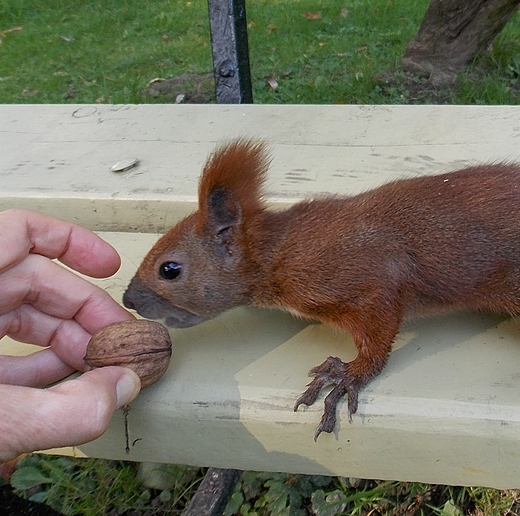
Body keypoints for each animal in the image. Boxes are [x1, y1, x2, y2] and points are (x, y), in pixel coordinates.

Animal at [124, 140, 520, 440]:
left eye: (169, 270)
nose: (129, 299)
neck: (281, 251)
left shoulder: (367, 278)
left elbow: (378, 334)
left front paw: (346, 375)